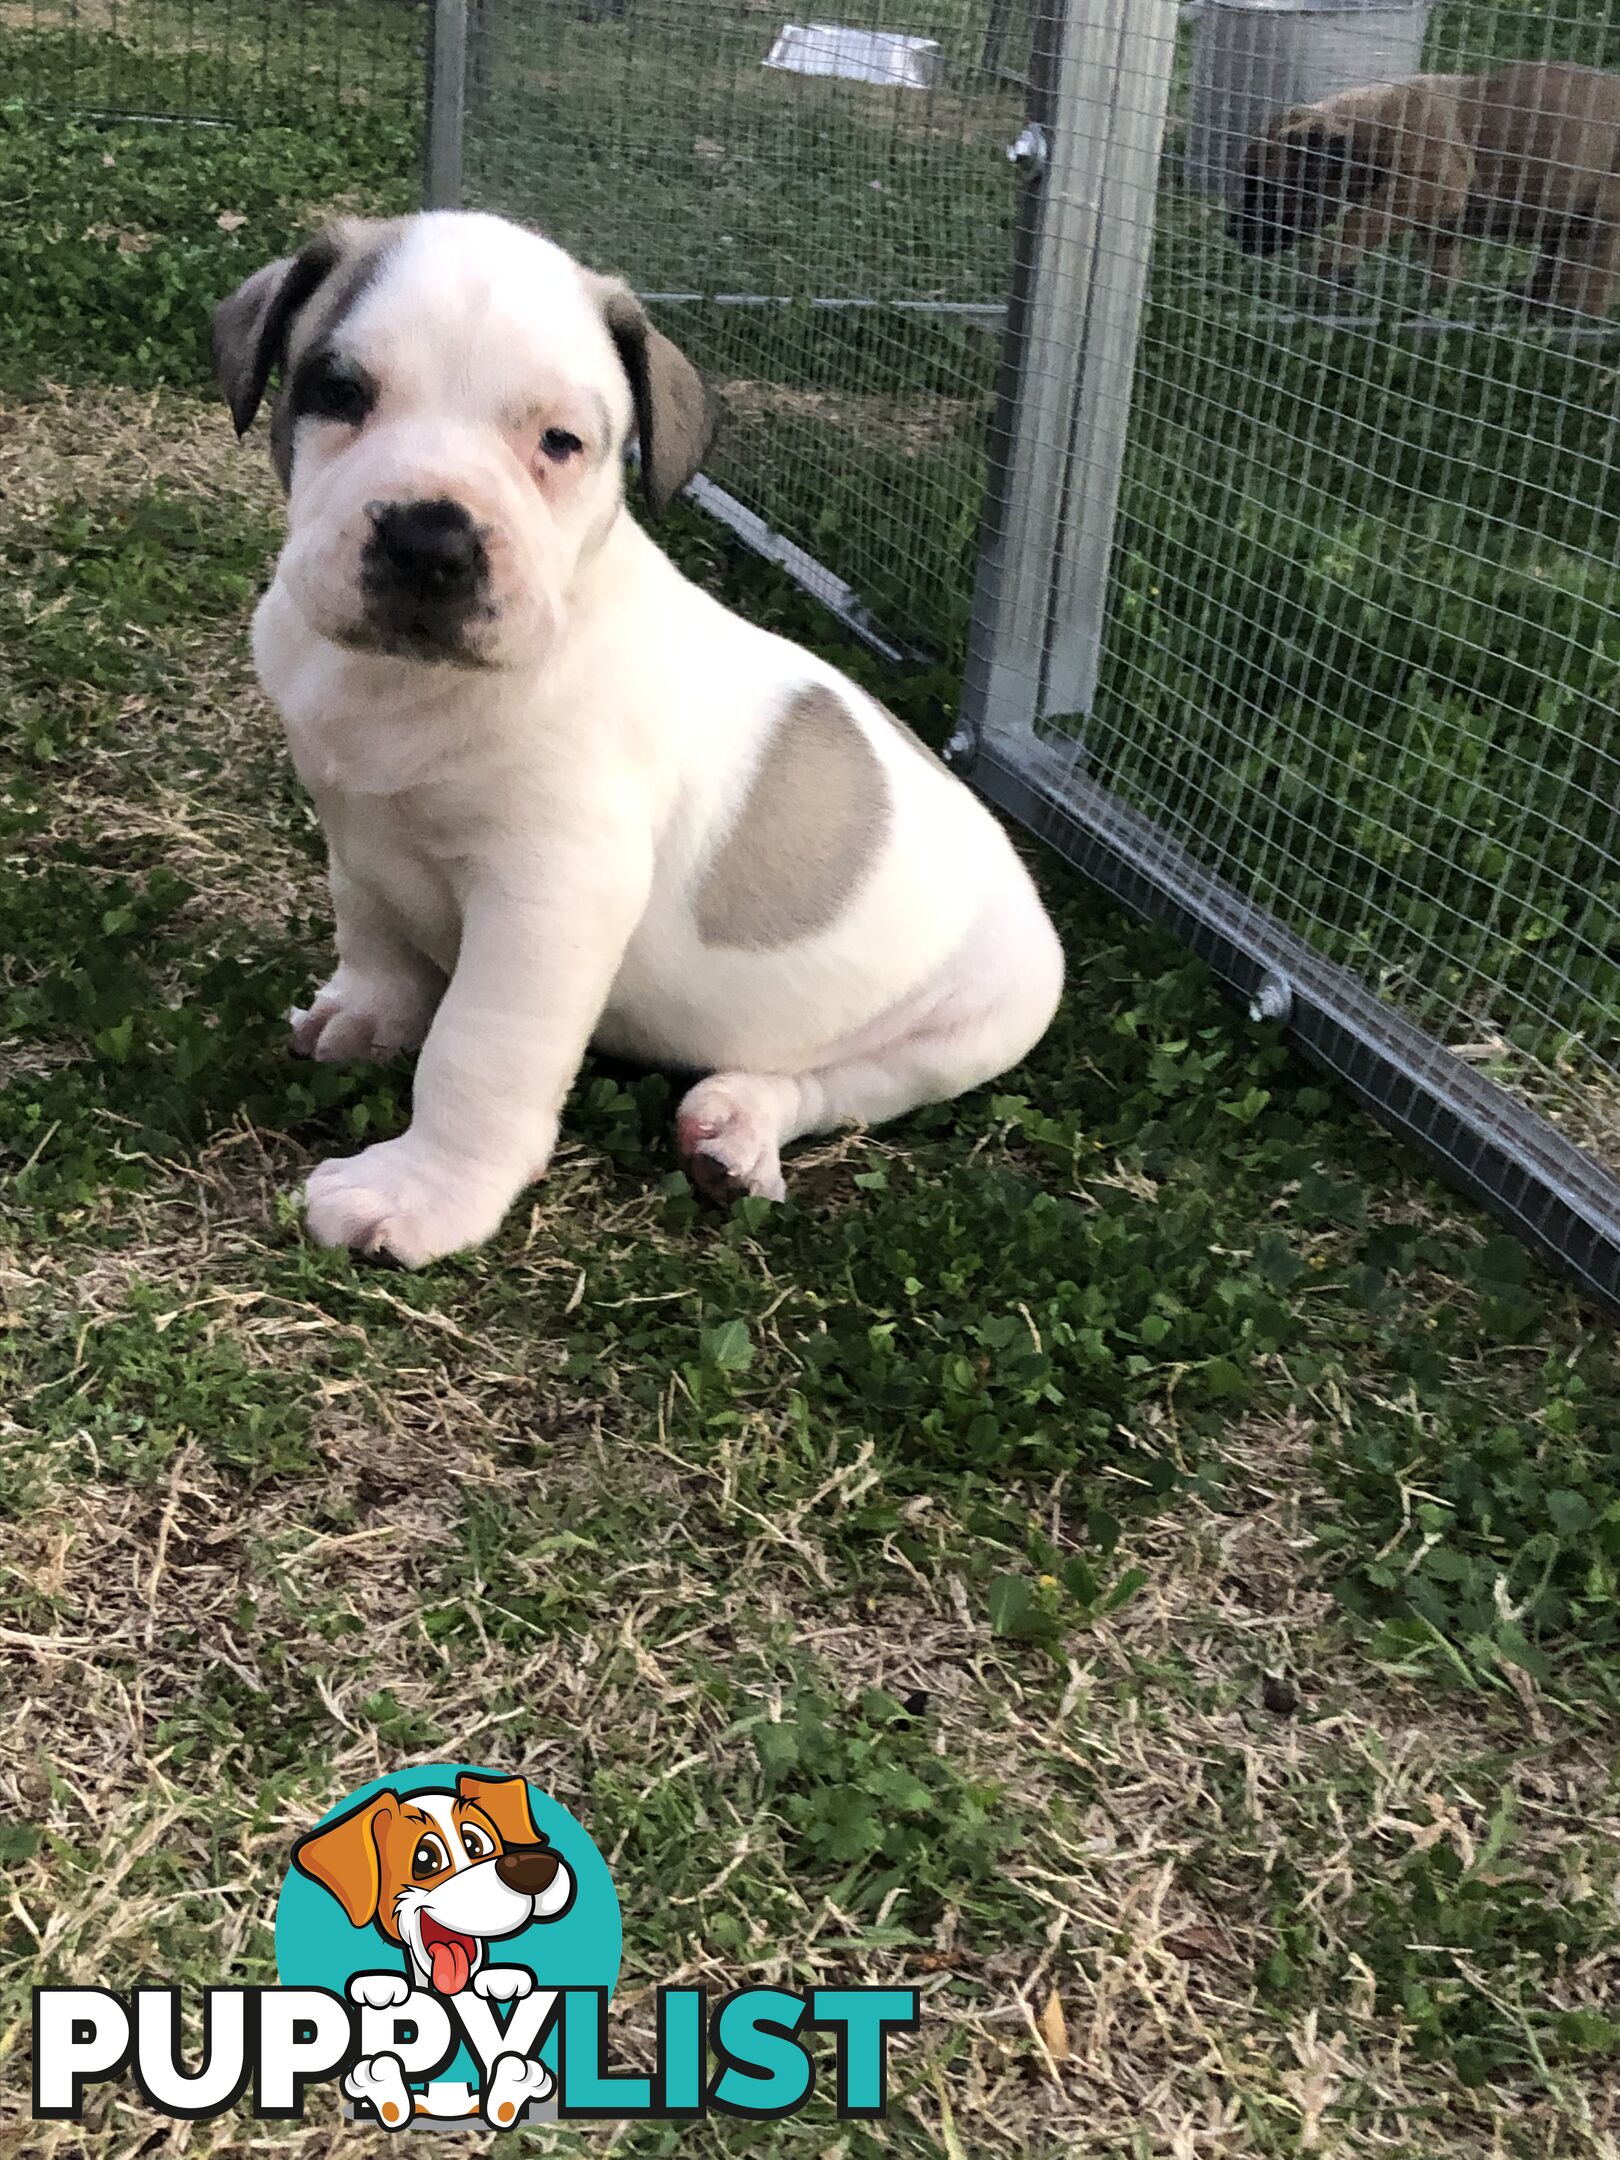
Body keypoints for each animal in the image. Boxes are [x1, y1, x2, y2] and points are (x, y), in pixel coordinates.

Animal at [216, 214, 1067, 1261]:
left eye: (561, 442)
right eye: (337, 393)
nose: (428, 538)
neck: (407, 683)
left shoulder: (550, 895)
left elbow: (476, 1052)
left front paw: (423, 1192)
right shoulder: (353, 822)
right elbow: (371, 927)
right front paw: (368, 1014)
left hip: (976, 1029)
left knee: (834, 1083)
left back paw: (739, 1128)